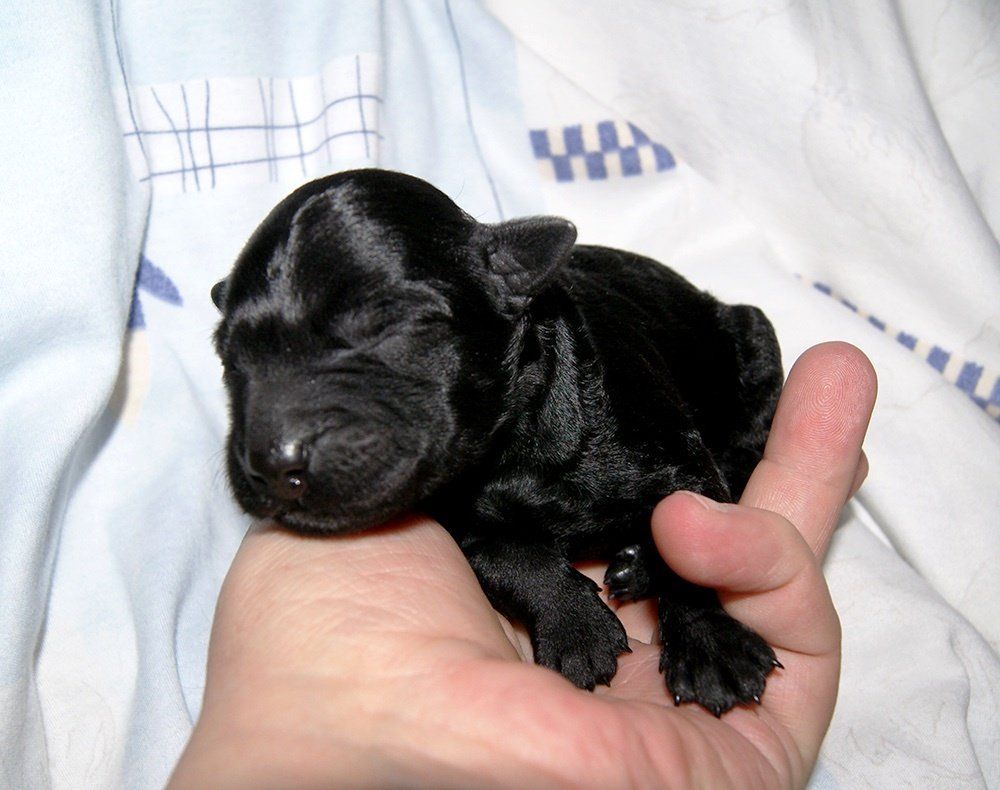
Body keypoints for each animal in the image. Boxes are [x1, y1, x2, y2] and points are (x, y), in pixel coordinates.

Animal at [211, 168, 784, 716]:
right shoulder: (459, 519)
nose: (271, 462)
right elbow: (514, 561)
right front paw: (576, 630)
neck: (506, 449)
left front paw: (710, 646)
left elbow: (691, 547)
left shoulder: (675, 460)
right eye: (229, 358)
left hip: (754, 340)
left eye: (388, 327)